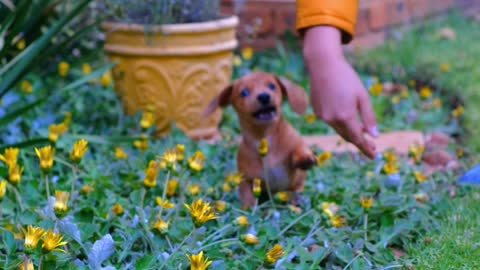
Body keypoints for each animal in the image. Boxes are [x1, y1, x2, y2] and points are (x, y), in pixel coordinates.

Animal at [203, 71, 318, 209]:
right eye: (244, 92)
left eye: (272, 86)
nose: (264, 96)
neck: (266, 138)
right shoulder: (247, 180)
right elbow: (248, 198)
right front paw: (249, 209)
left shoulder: (296, 144)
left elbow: (299, 150)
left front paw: (305, 159)